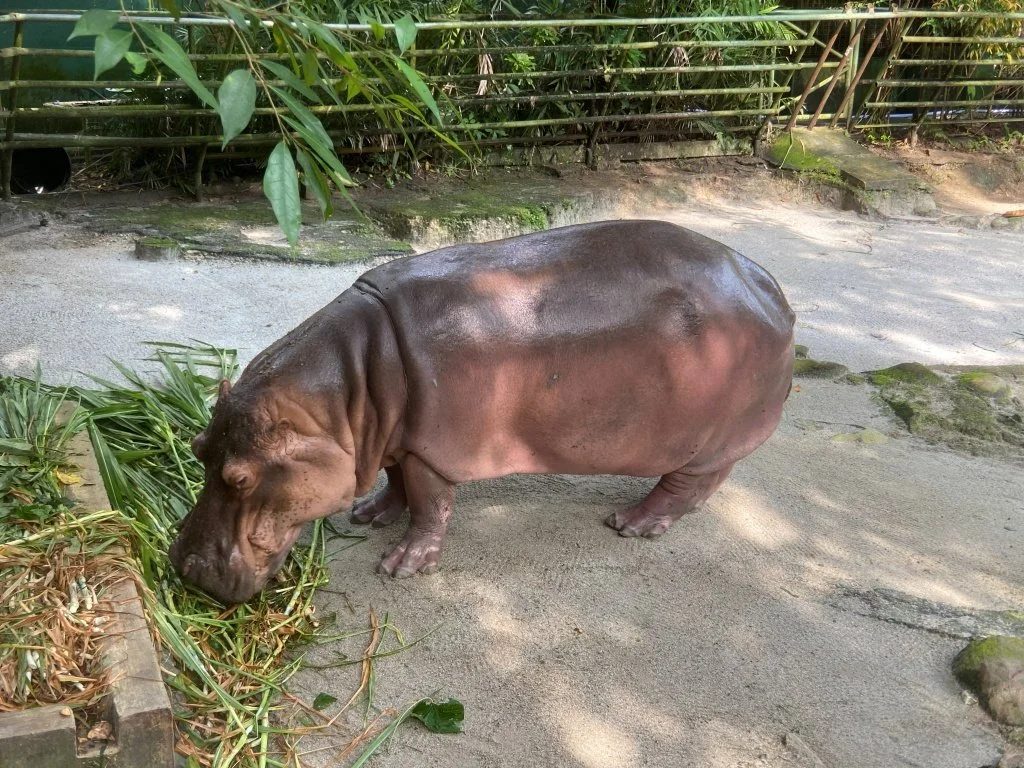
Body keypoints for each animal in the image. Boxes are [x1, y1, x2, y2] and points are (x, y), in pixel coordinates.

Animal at [169, 220, 795, 604]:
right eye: (198, 450)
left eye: (240, 477)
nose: (184, 569)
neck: (344, 398)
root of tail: (772, 288)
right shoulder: (397, 437)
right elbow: (396, 483)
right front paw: (369, 515)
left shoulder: (430, 449)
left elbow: (430, 504)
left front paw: (401, 566)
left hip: (708, 441)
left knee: (690, 485)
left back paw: (633, 524)